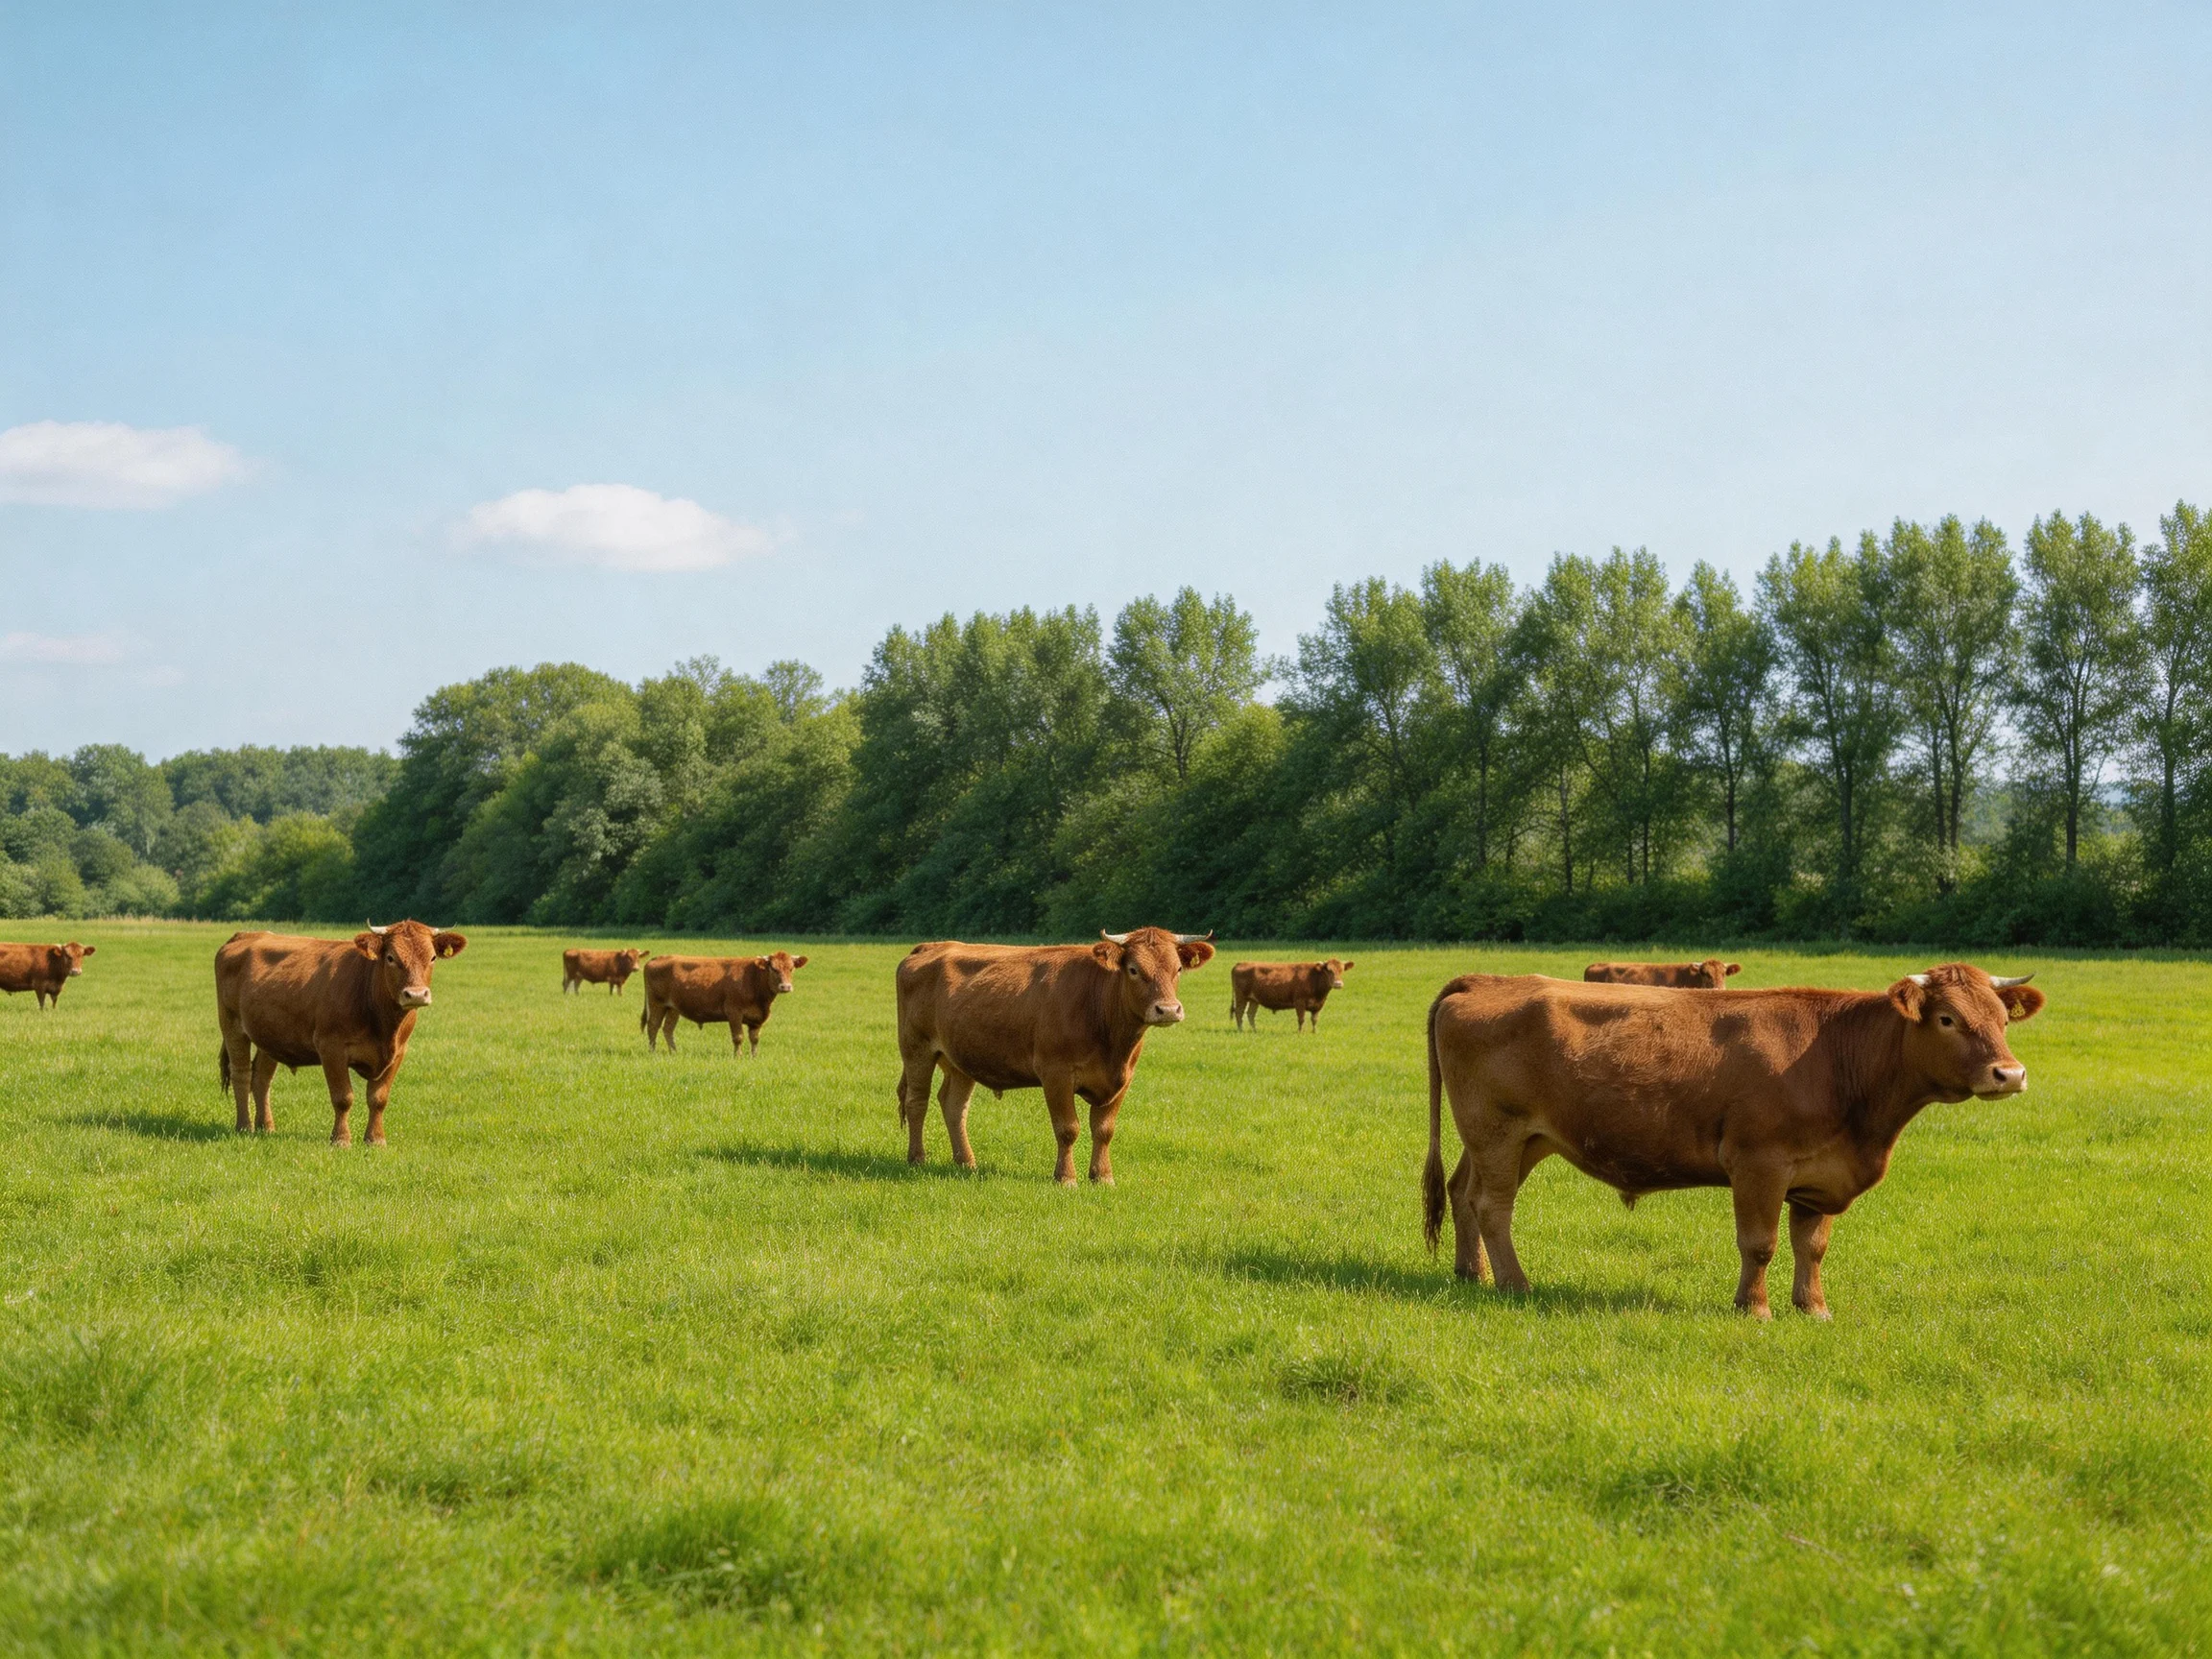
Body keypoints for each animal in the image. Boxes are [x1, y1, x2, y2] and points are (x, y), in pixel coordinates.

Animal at [215, 920, 467, 1144]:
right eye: (391, 957)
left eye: (432, 957)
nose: (415, 994)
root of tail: (246, 934)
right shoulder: (331, 1047)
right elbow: (343, 1098)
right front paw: (341, 1139)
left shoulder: (398, 1052)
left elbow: (378, 1099)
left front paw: (376, 1139)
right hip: (232, 1025)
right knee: (241, 1074)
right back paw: (244, 1127)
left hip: (270, 1034)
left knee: (261, 1079)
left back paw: (266, 1127)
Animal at [640, 952, 808, 1056]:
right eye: (773, 968)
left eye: (791, 968)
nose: (785, 987)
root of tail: (657, 958)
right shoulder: (734, 1012)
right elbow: (738, 1037)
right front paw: (738, 1056)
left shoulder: (757, 1018)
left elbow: (754, 1039)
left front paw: (754, 1057)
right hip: (656, 1003)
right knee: (653, 1026)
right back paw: (652, 1052)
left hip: (673, 1008)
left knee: (667, 1029)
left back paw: (674, 1052)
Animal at [896, 927, 1215, 1185]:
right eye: (1134, 969)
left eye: (1178, 969)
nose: (1168, 1009)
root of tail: (932, 945)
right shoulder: (1056, 1074)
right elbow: (1067, 1129)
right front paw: (1066, 1178)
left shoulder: (1122, 1079)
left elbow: (1104, 1130)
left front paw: (1103, 1177)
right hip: (916, 1048)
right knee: (917, 1102)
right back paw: (917, 1158)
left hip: (960, 1058)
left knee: (954, 1106)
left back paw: (966, 1162)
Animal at [1421, 962, 2044, 1318]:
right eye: (1946, 1018)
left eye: (2001, 1018)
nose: (2009, 1074)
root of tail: (1488, 980)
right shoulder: (1758, 1164)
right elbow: (1760, 1243)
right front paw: (1755, 1309)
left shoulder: (1820, 1175)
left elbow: (1812, 1246)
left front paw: (1813, 1309)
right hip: (1498, 1131)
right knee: (1492, 1205)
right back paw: (1515, 1285)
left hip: (1514, 1139)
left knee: (1462, 1191)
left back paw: (1472, 1274)